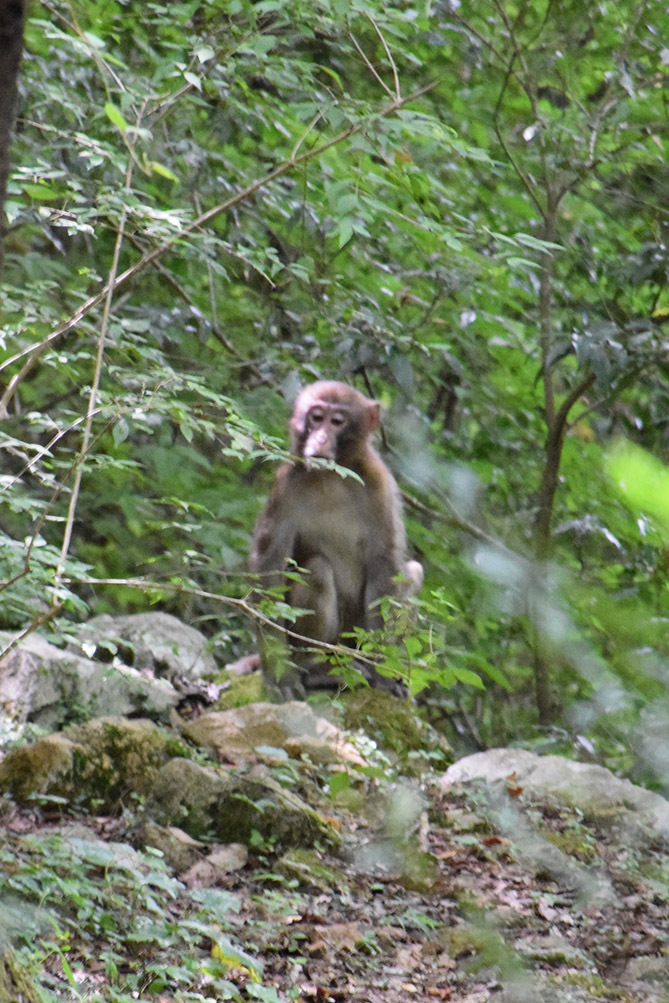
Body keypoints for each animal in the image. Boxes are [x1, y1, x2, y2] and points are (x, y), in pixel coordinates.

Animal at [250, 379, 423, 694]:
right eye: (317, 417)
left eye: (337, 422)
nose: (319, 438)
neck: (331, 476)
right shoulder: (286, 485)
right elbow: (269, 564)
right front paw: (279, 675)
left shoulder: (379, 487)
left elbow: (386, 564)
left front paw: (383, 673)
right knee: (316, 570)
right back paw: (317, 670)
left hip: (353, 639)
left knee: (413, 571)